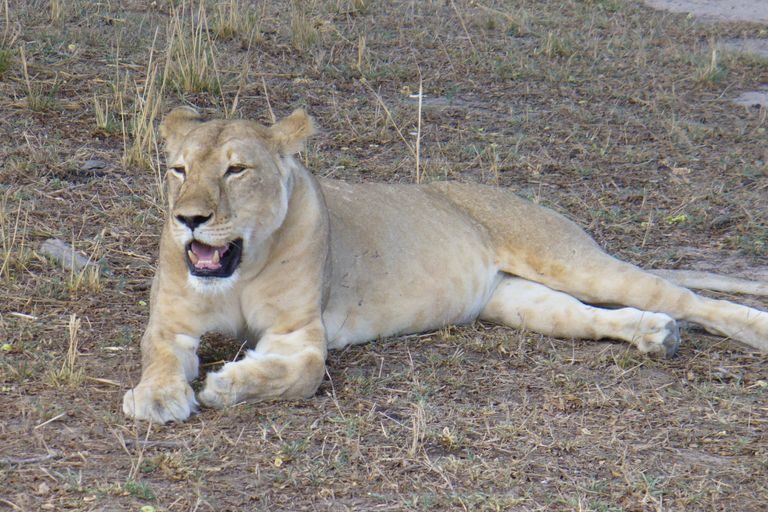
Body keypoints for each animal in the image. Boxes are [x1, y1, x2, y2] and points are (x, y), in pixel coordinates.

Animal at [123, 107, 768, 423]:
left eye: (236, 170)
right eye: (179, 169)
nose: (190, 219)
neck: (240, 268)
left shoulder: (299, 334)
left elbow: (297, 374)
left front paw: (228, 383)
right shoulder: (171, 323)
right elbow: (159, 356)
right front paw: (156, 398)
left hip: (571, 261)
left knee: (687, 298)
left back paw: (747, 331)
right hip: (521, 302)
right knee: (596, 315)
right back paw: (656, 336)